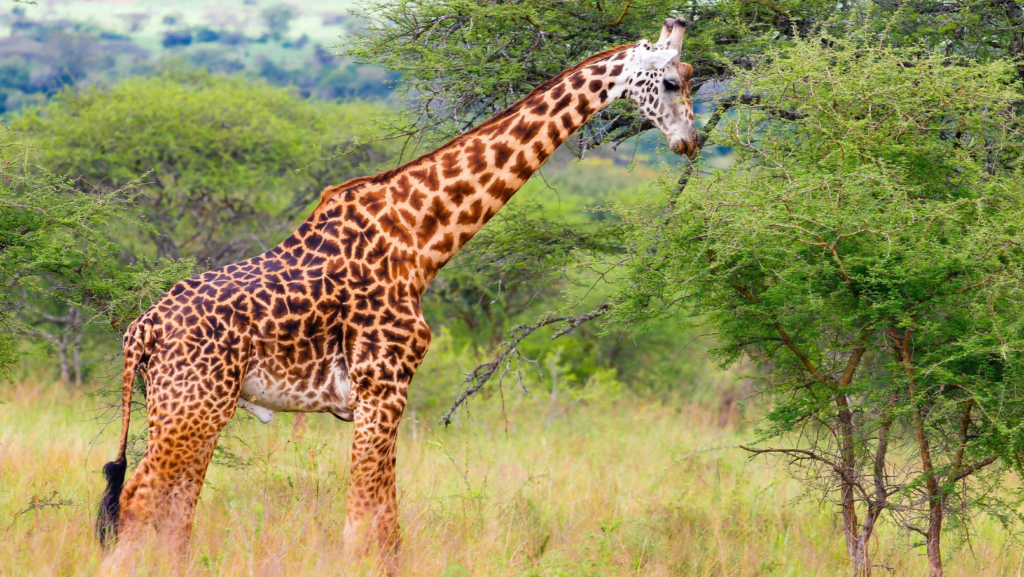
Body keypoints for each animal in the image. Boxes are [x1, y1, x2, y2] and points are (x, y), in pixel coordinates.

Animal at [95, 17, 697, 566]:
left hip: (189, 406)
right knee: (139, 499)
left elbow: (383, 520)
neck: (421, 239)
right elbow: (368, 522)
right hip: (194, 405)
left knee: (172, 509)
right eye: (671, 81)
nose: (690, 142)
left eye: (692, 78)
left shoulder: (381, 391)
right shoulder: (383, 383)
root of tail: (139, 330)